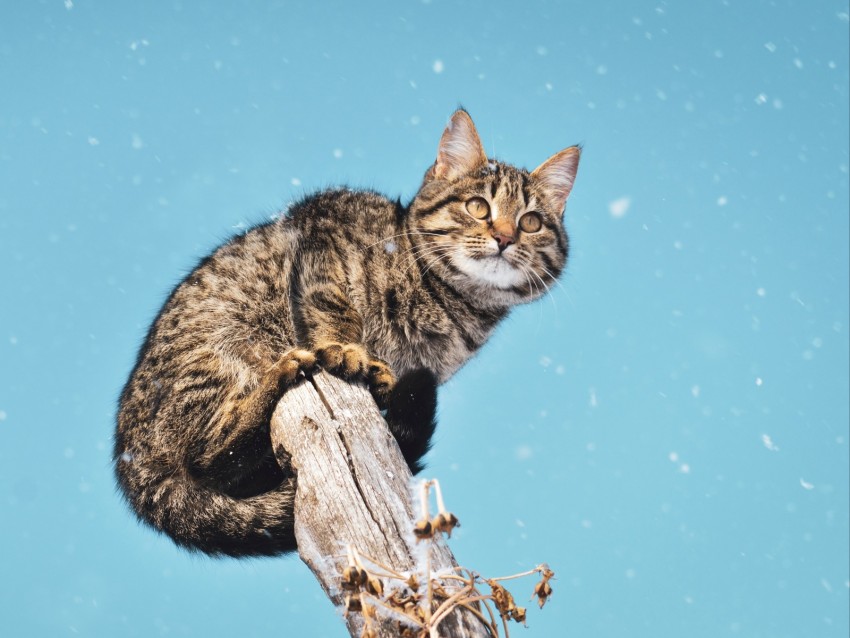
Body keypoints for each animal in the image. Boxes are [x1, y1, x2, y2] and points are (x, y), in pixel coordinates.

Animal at [114, 111, 576, 560]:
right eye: (478, 207)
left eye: (531, 222)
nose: (505, 237)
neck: (449, 305)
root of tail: (129, 461)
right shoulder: (323, 232)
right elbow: (335, 308)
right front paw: (347, 350)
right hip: (218, 355)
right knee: (208, 457)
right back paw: (279, 375)